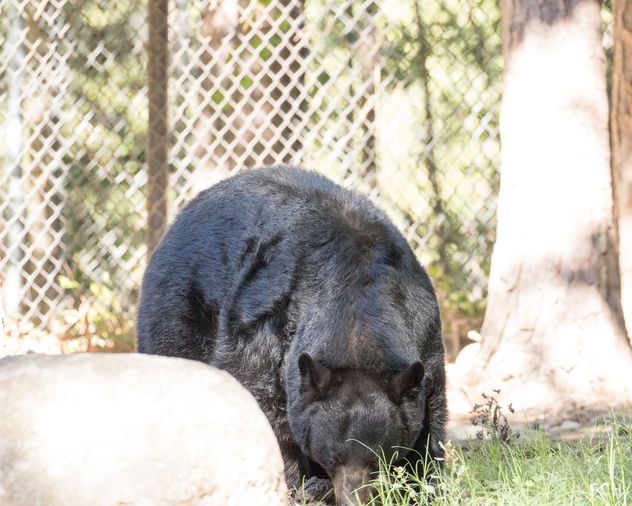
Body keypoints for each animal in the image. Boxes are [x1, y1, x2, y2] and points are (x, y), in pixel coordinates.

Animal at [136, 165, 446, 502]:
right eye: (331, 458)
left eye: (378, 460)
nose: (352, 500)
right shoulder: (265, 326)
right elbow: (264, 402)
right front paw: (293, 484)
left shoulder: (424, 326)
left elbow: (432, 413)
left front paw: (427, 484)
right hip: (177, 310)